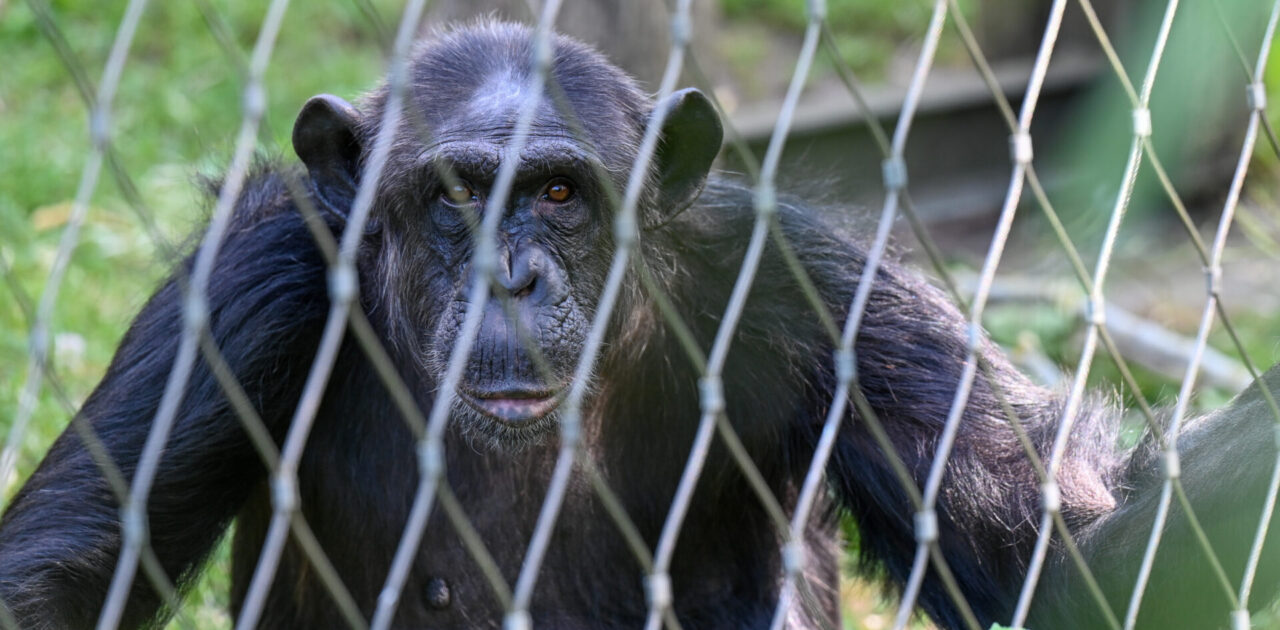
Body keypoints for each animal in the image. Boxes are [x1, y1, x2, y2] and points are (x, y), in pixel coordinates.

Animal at [2, 19, 1280, 630]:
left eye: (560, 193)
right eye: (456, 195)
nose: (512, 276)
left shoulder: (799, 286)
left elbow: (1063, 563)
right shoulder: (250, 284)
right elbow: (65, 566)